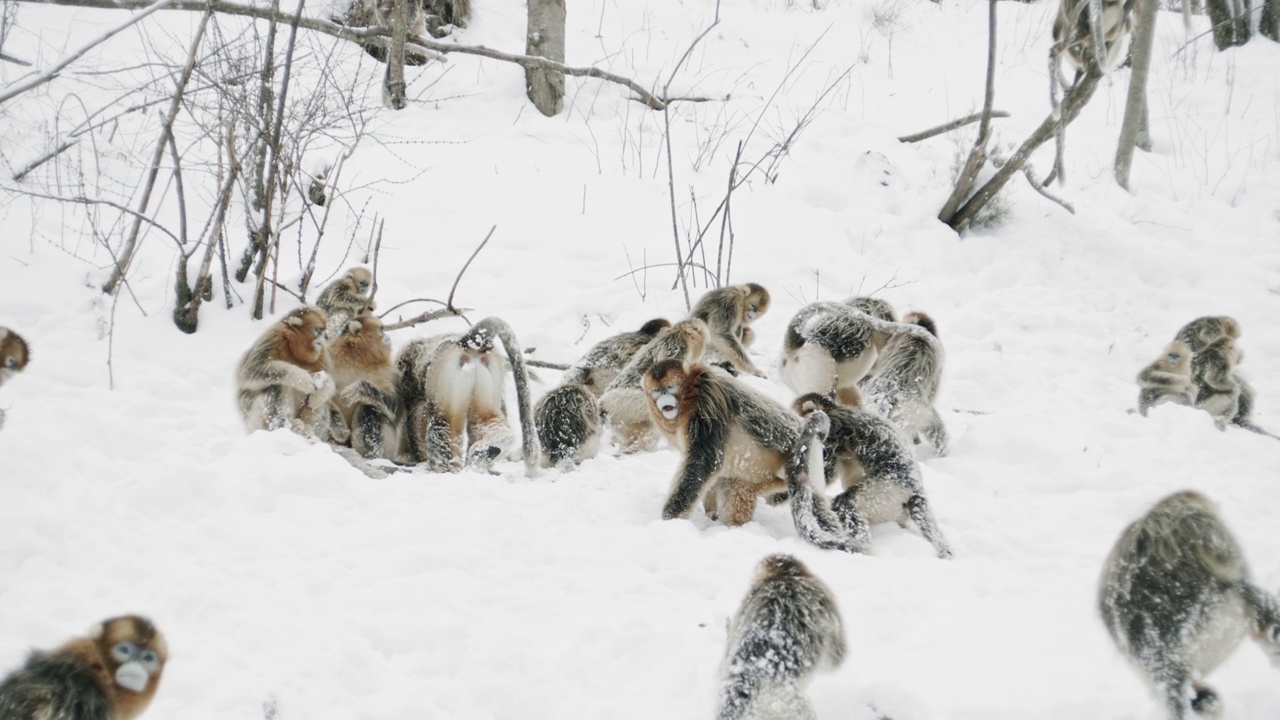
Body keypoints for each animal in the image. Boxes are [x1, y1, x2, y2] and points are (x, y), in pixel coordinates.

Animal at [234, 302, 337, 438]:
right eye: (318, 330)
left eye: (323, 331)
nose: (323, 338)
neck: (295, 350)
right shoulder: (274, 337)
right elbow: (249, 373)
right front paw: (303, 379)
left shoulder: (322, 353)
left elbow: (328, 385)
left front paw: (321, 390)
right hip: (255, 421)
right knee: (277, 384)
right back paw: (283, 427)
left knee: (319, 402)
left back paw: (307, 430)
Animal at [325, 313, 399, 458]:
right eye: (381, 330)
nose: (388, 336)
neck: (358, 358)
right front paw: (340, 430)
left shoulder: (388, 371)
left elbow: (395, 407)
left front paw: (358, 389)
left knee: (368, 406)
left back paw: (371, 454)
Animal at [640, 356, 798, 520]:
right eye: (656, 391)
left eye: (670, 388)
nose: (664, 400)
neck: (692, 396)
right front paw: (710, 512)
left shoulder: (706, 410)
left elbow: (702, 463)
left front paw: (671, 518)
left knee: (734, 489)